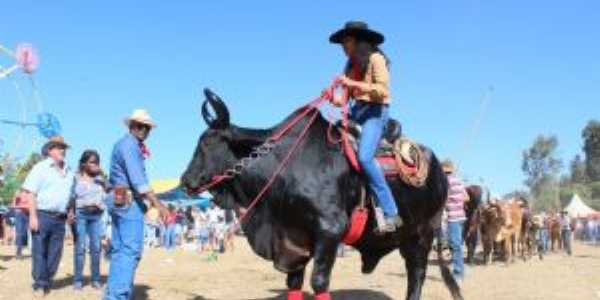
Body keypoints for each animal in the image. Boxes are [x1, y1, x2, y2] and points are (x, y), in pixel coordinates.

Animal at [180, 89, 462, 300]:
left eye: (207, 142)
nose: (185, 180)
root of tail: (438, 169)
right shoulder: (294, 239)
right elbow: (294, 282)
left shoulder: (329, 231)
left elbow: (319, 282)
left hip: (424, 234)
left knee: (417, 273)